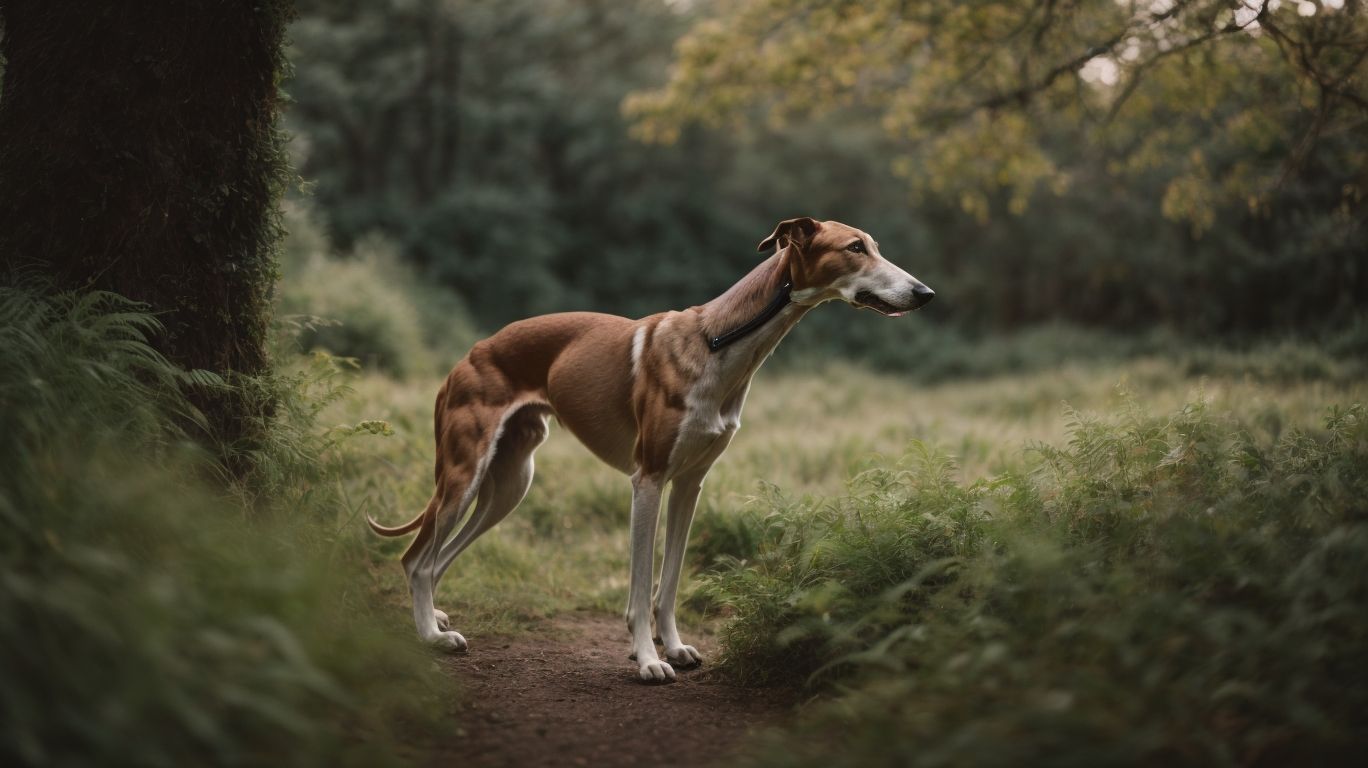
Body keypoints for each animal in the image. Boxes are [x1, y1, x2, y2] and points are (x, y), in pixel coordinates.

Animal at [369, 219, 935, 679]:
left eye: (875, 246)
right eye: (855, 248)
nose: (925, 292)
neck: (719, 340)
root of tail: (464, 359)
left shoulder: (689, 484)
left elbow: (669, 582)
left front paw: (675, 648)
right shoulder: (648, 480)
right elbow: (642, 588)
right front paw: (647, 660)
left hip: (508, 485)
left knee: (438, 559)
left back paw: (437, 616)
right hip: (464, 475)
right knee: (417, 560)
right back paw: (432, 636)